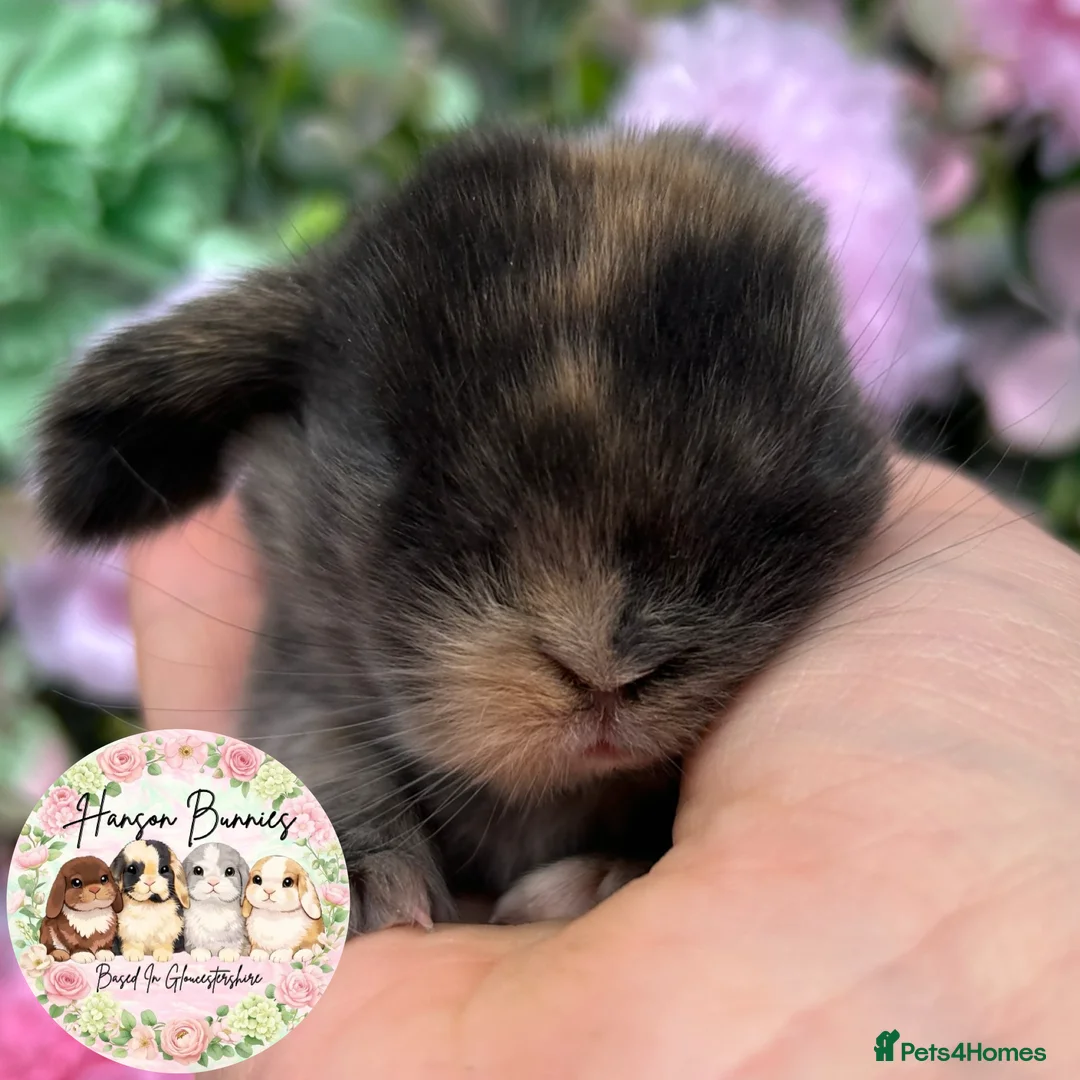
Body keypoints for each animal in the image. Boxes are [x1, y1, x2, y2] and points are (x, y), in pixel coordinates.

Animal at [32, 126, 890, 933]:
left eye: (812, 449)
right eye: (393, 461)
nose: (605, 675)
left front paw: (595, 879)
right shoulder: (302, 676)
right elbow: (323, 754)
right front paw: (370, 882)